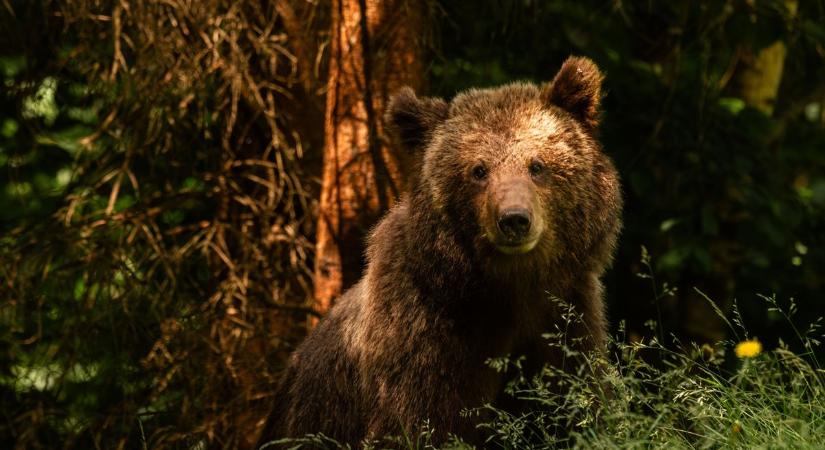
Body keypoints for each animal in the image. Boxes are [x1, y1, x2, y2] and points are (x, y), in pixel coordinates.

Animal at [260, 57, 620, 446]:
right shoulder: (425, 337)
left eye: (537, 164)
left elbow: (575, 406)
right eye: (478, 170)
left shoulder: (566, 317)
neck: (509, 289)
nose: (514, 219)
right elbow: (421, 422)